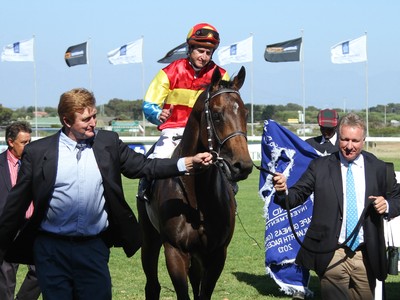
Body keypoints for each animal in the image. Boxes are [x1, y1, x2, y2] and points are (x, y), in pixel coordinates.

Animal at [136, 66, 252, 300]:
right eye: (216, 114)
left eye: (245, 113)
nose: (242, 166)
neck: (197, 197)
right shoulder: (175, 251)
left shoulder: (216, 253)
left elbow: (202, 292)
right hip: (149, 238)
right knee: (152, 285)